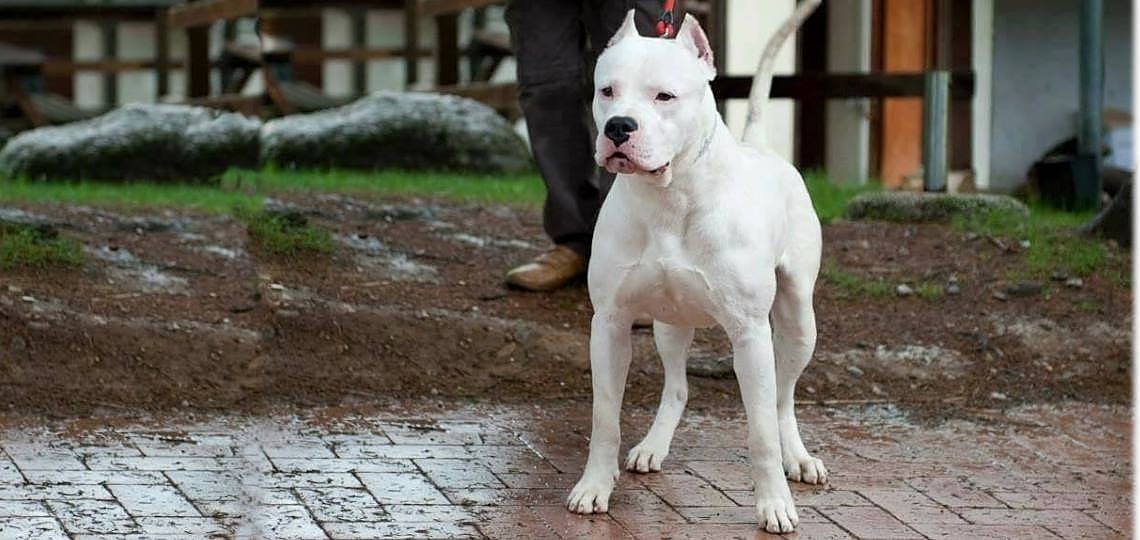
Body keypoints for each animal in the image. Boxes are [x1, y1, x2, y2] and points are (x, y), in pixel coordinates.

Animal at [570, 2, 829, 533]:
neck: (670, 196)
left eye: (664, 96)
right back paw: (652, 446)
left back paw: (798, 457)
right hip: (670, 324)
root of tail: (762, 147)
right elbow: (605, 417)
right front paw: (594, 487)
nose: (619, 127)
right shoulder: (609, 324)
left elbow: (761, 432)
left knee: (783, 399)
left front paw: (774, 504)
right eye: (607, 91)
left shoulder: (751, 333)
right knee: (678, 386)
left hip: (798, 322)